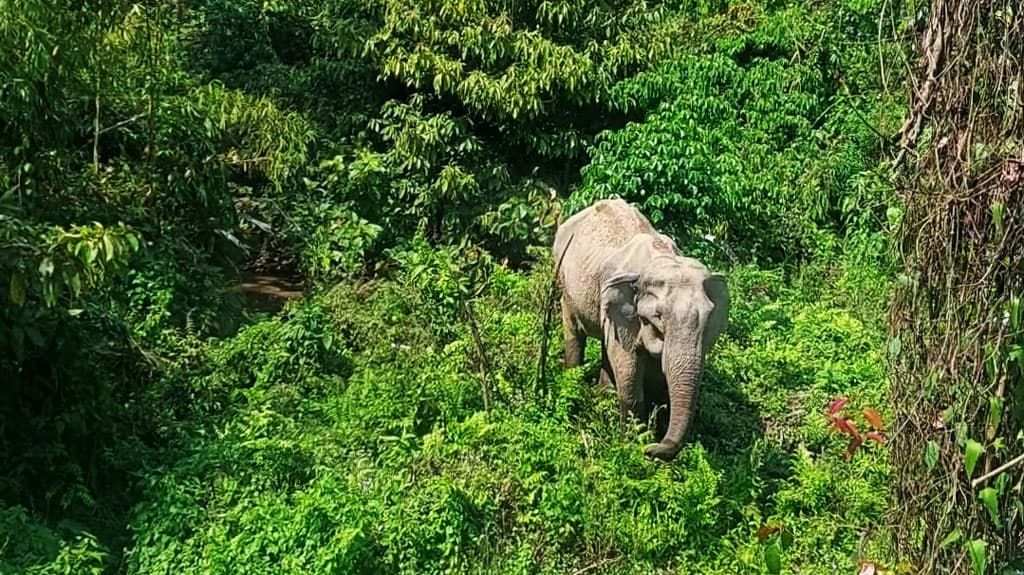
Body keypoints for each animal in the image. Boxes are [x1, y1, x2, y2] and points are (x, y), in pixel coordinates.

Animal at [552, 196, 729, 460]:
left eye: (707, 321)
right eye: (658, 317)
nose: (651, 449)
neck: (662, 260)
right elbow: (628, 364)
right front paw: (632, 444)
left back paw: (602, 395)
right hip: (564, 282)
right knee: (575, 331)